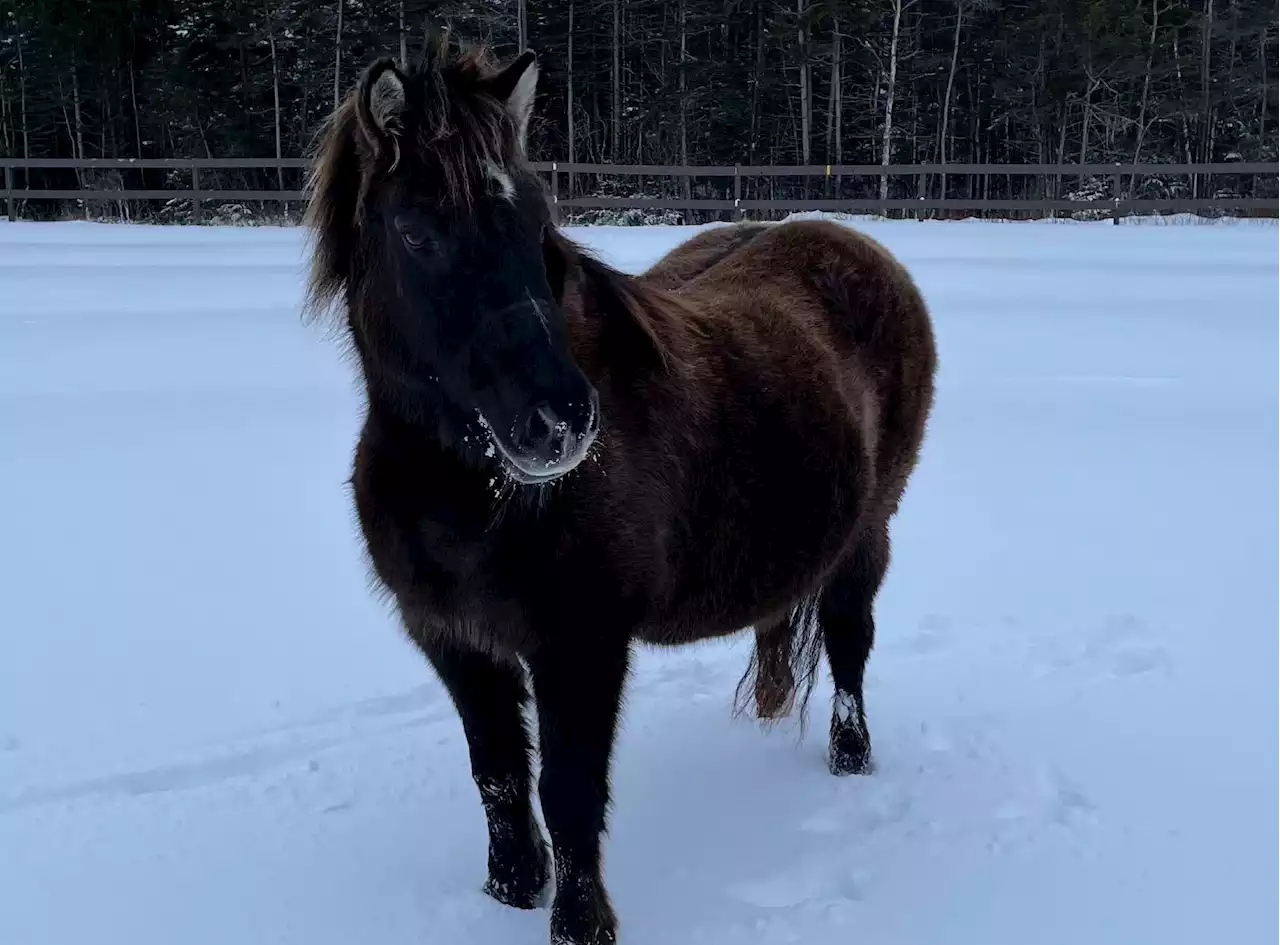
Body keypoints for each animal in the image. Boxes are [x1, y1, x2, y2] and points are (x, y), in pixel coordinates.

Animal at [304, 36, 936, 942]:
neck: (475, 496)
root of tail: (851, 243)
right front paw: (509, 888)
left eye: (536, 221)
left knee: (850, 642)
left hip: (870, 529)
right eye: (418, 233)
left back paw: (850, 759)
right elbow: (497, 773)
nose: (560, 420)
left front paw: (580, 921)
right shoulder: (454, 640)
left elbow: (568, 789)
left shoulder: (581, 645)